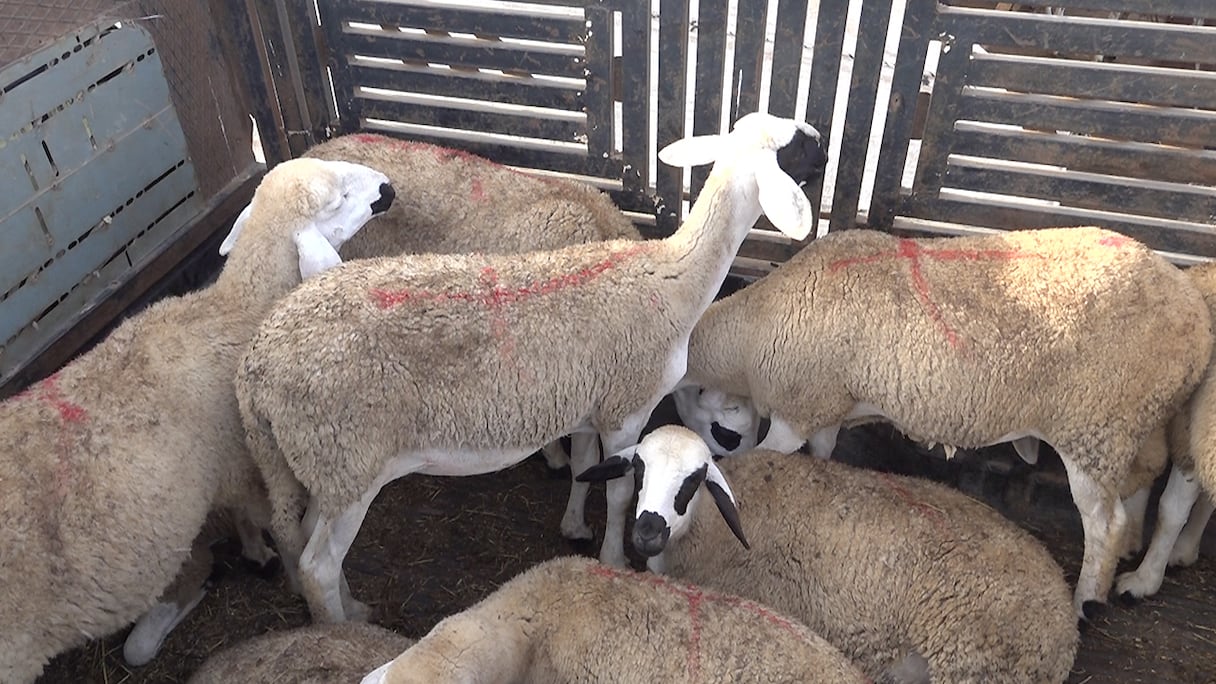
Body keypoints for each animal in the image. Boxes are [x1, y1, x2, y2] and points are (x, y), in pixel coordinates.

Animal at [234, 111, 829, 622]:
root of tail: (256, 367)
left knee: (308, 538)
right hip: (348, 460)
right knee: (316, 565)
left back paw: (353, 606)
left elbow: (586, 469)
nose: (823, 142)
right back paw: (341, 627)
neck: (672, 276)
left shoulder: (588, 405)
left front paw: (572, 525)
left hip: (319, 465)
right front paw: (613, 558)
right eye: (793, 148)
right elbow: (618, 492)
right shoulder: (627, 407)